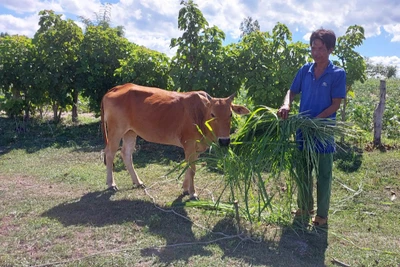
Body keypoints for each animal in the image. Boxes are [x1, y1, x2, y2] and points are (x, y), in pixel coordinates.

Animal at [101, 83, 248, 199]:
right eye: (212, 114)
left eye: (230, 114)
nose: (224, 141)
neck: (200, 114)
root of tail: (117, 88)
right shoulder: (189, 143)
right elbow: (192, 169)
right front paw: (193, 193)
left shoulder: (196, 148)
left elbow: (189, 166)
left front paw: (185, 188)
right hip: (116, 130)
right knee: (109, 153)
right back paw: (111, 184)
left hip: (130, 132)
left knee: (126, 154)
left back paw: (138, 182)